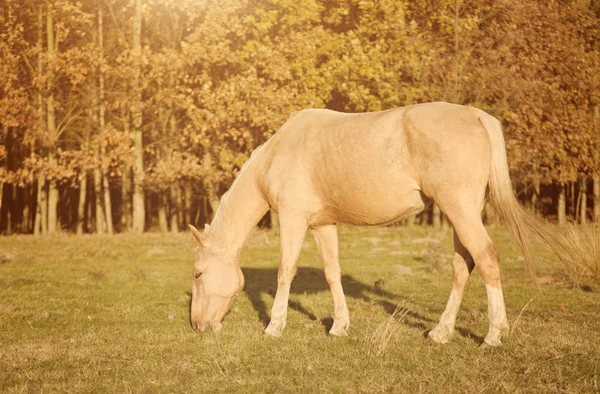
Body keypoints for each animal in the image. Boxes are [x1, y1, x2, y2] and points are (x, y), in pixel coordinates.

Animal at [188, 101, 552, 348]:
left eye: (198, 274)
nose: (197, 325)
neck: (279, 152)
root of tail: (477, 115)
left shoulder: (292, 218)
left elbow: (285, 271)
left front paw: (274, 326)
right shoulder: (322, 225)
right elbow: (332, 272)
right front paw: (339, 326)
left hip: (459, 209)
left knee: (487, 257)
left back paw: (493, 335)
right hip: (463, 213)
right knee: (463, 265)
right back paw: (441, 332)